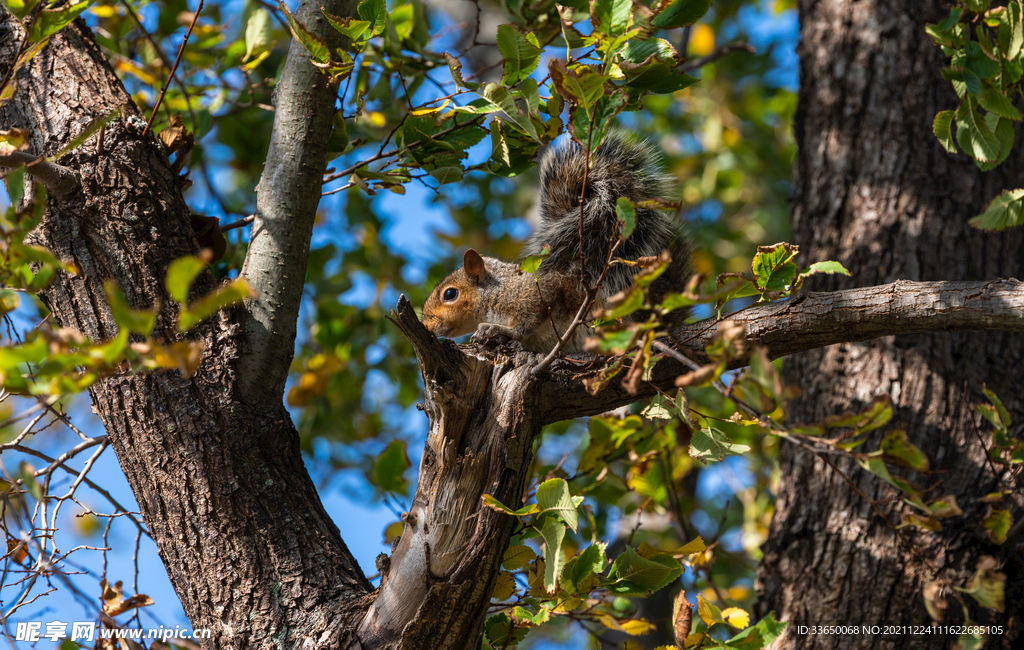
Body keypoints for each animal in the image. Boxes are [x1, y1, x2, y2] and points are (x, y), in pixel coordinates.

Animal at [419, 133, 692, 356]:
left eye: (450, 294)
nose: (426, 325)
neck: (498, 290)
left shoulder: (536, 294)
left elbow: (525, 324)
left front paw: (496, 329)